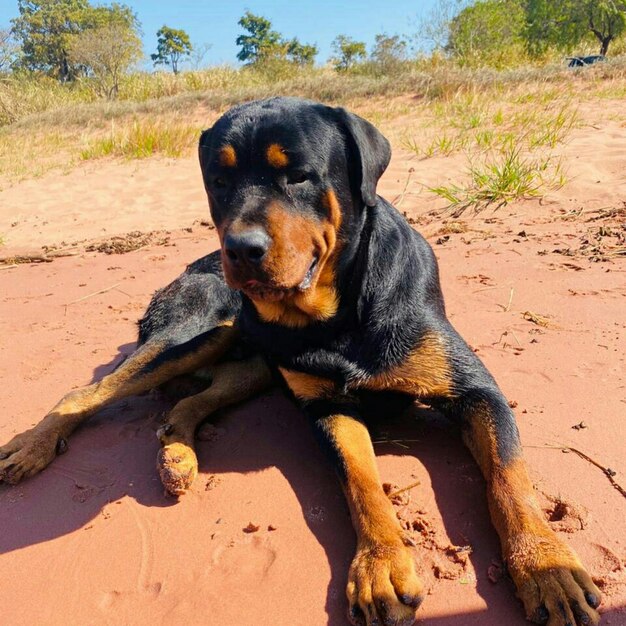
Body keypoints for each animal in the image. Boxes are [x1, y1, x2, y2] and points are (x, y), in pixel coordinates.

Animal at [2, 97, 604, 624]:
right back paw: (32, 446)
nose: (241, 249)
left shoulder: (478, 391)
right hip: (197, 329)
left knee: (190, 401)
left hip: (252, 365)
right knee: (89, 391)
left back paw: (177, 456)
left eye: (297, 176)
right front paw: (382, 566)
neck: (335, 314)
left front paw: (546, 568)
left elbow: (509, 480)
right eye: (218, 181)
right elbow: (362, 482)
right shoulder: (325, 407)